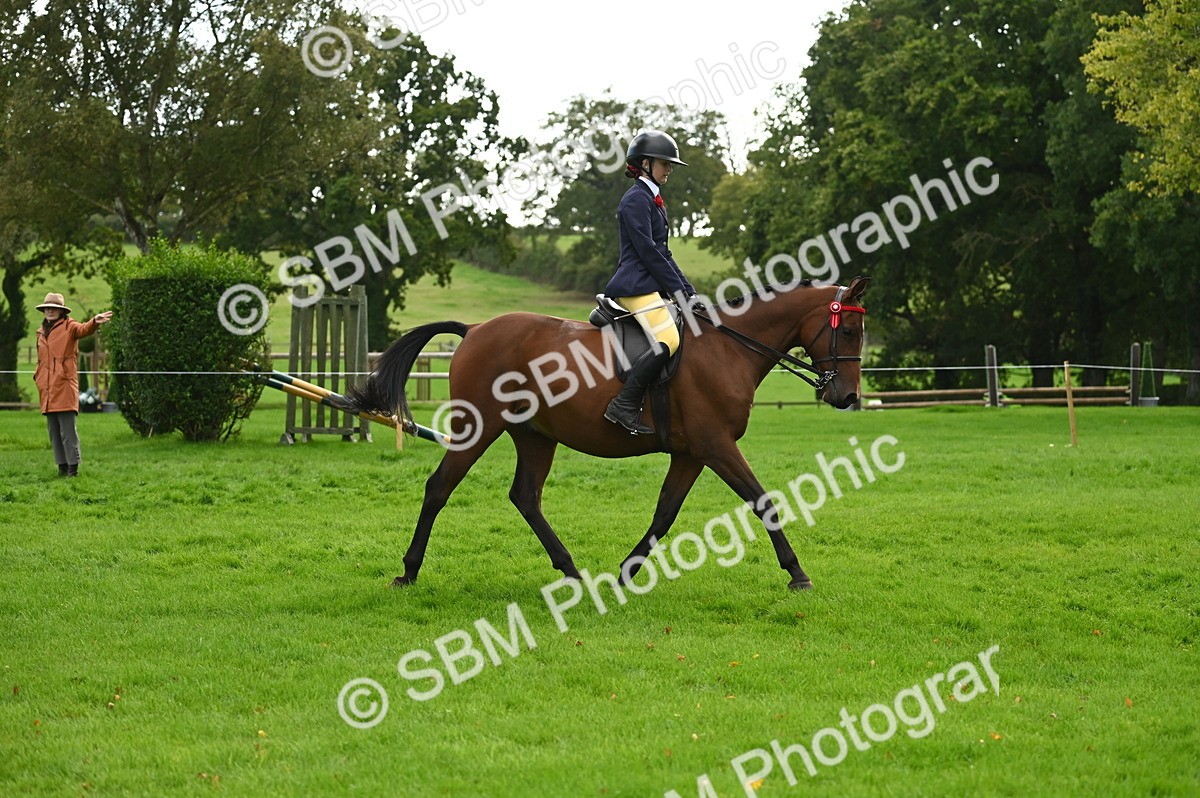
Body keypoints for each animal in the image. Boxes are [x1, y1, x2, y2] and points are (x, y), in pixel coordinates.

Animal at [340, 275, 870, 590]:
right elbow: (762, 501)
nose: (847, 397)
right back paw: (408, 572)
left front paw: (627, 571)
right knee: (439, 487)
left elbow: (664, 514)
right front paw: (797, 573)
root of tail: (473, 330)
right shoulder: (716, 446)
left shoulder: (691, 454)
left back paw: (571, 571)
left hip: (535, 435)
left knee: (525, 496)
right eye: (847, 332)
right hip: (479, 426)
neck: (729, 348)